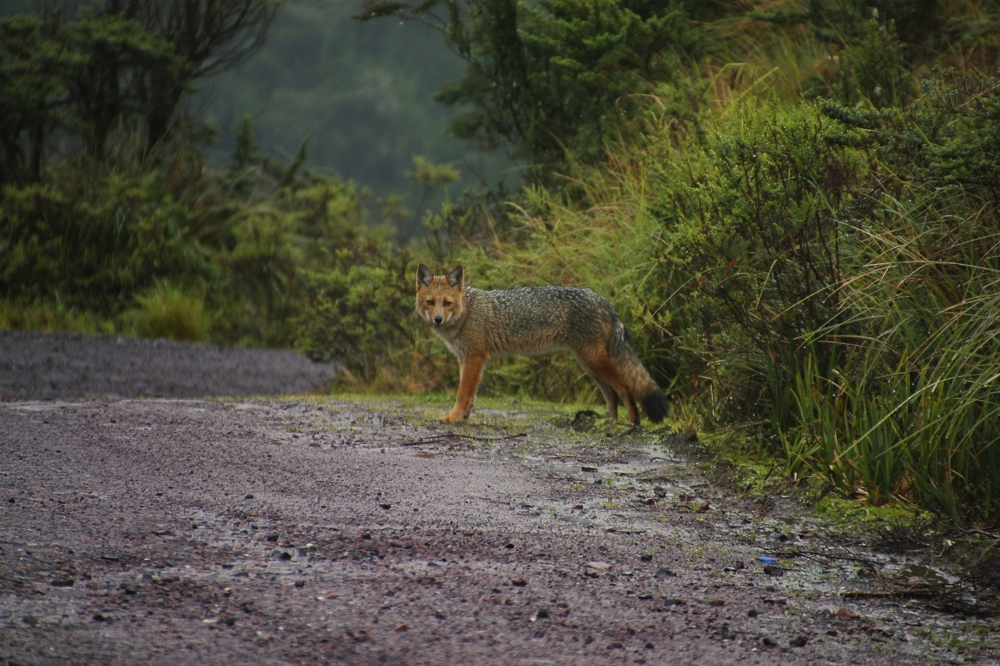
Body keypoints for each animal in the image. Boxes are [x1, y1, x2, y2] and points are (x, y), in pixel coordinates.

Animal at [412, 262, 664, 422]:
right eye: (430, 302)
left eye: (447, 303)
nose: (437, 320)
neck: (468, 311)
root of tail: (603, 299)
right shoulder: (467, 360)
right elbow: (471, 396)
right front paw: (463, 418)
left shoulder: (475, 358)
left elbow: (463, 394)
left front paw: (453, 418)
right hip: (590, 367)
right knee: (612, 395)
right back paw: (611, 424)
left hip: (595, 363)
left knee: (625, 388)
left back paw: (632, 423)